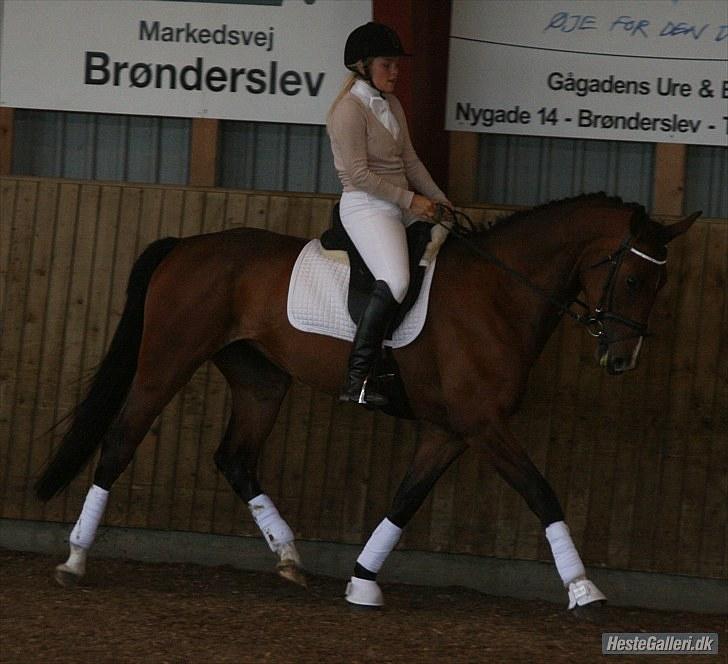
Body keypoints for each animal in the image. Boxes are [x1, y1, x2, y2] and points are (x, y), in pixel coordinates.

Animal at [32, 195, 692, 616]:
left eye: (659, 284)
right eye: (634, 280)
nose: (621, 361)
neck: (501, 292)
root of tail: (187, 244)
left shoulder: (450, 431)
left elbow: (405, 499)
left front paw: (362, 583)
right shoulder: (483, 425)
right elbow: (541, 493)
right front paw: (584, 590)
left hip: (261, 380)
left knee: (236, 458)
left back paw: (289, 557)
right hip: (168, 360)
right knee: (122, 440)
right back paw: (75, 559)